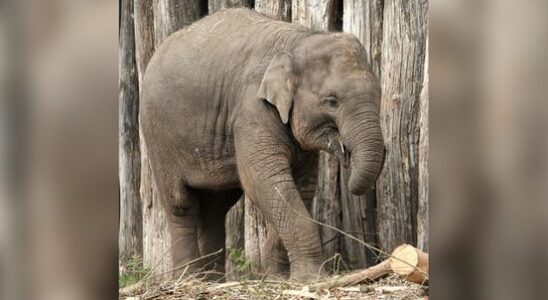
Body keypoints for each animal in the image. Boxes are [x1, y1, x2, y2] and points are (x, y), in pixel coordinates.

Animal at [141, 7, 386, 284]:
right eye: (331, 102)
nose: (345, 155)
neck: (299, 39)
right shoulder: (252, 109)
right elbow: (264, 181)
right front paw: (309, 279)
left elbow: (301, 186)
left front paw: (277, 278)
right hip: (158, 138)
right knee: (181, 204)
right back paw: (190, 279)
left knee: (216, 207)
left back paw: (213, 281)